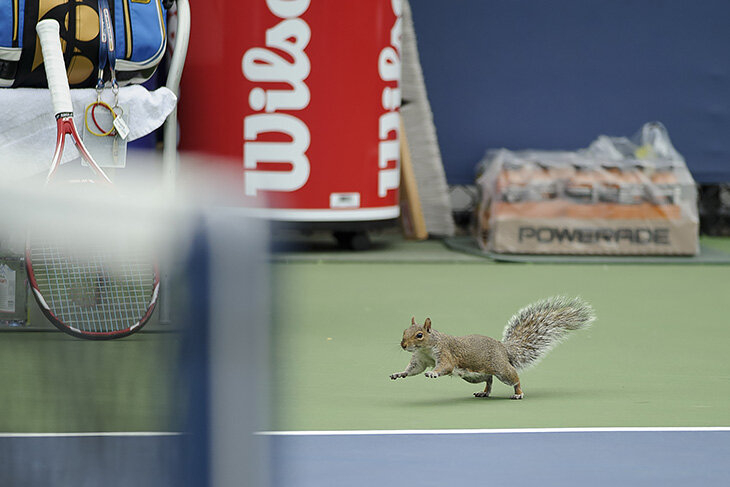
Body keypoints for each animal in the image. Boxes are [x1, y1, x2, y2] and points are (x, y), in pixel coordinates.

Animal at [386, 296, 592, 398]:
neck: (427, 348)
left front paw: (433, 373)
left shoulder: (446, 354)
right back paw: (484, 392)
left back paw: (518, 393)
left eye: (419, 335)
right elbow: (413, 370)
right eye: (404, 331)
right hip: (474, 375)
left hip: (502, 370)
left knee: (514, 378)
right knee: (489, 379)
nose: (403, 345)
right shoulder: (420, 360)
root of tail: (504, 349)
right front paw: (399, 373)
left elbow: (444, 366)